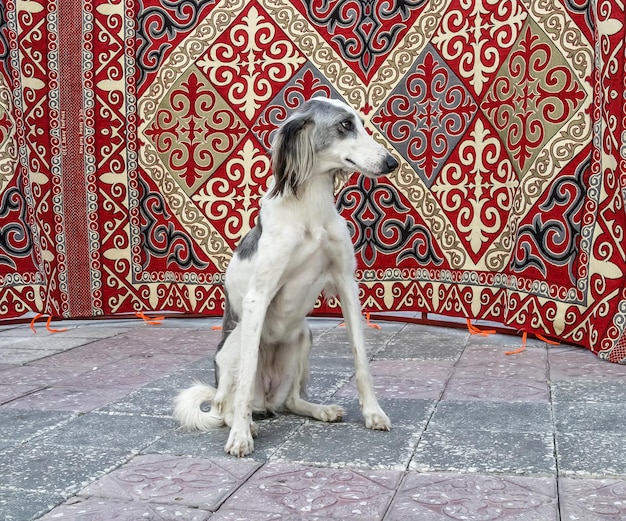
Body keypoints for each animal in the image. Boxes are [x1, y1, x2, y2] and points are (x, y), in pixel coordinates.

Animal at [172, 97, 394, 456]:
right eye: (345, 125)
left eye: (360, 122)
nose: (391, 162)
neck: (309, 209)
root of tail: (266, 401)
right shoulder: (257, 298)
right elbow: (246, 377)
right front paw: (240, 437)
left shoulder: (347, 284)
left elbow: (361, 359)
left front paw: (373, 413)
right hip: (234, 346)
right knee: (226, 405)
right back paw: (244, 424)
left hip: (303, 338)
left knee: (291, 401)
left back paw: (319, 410)